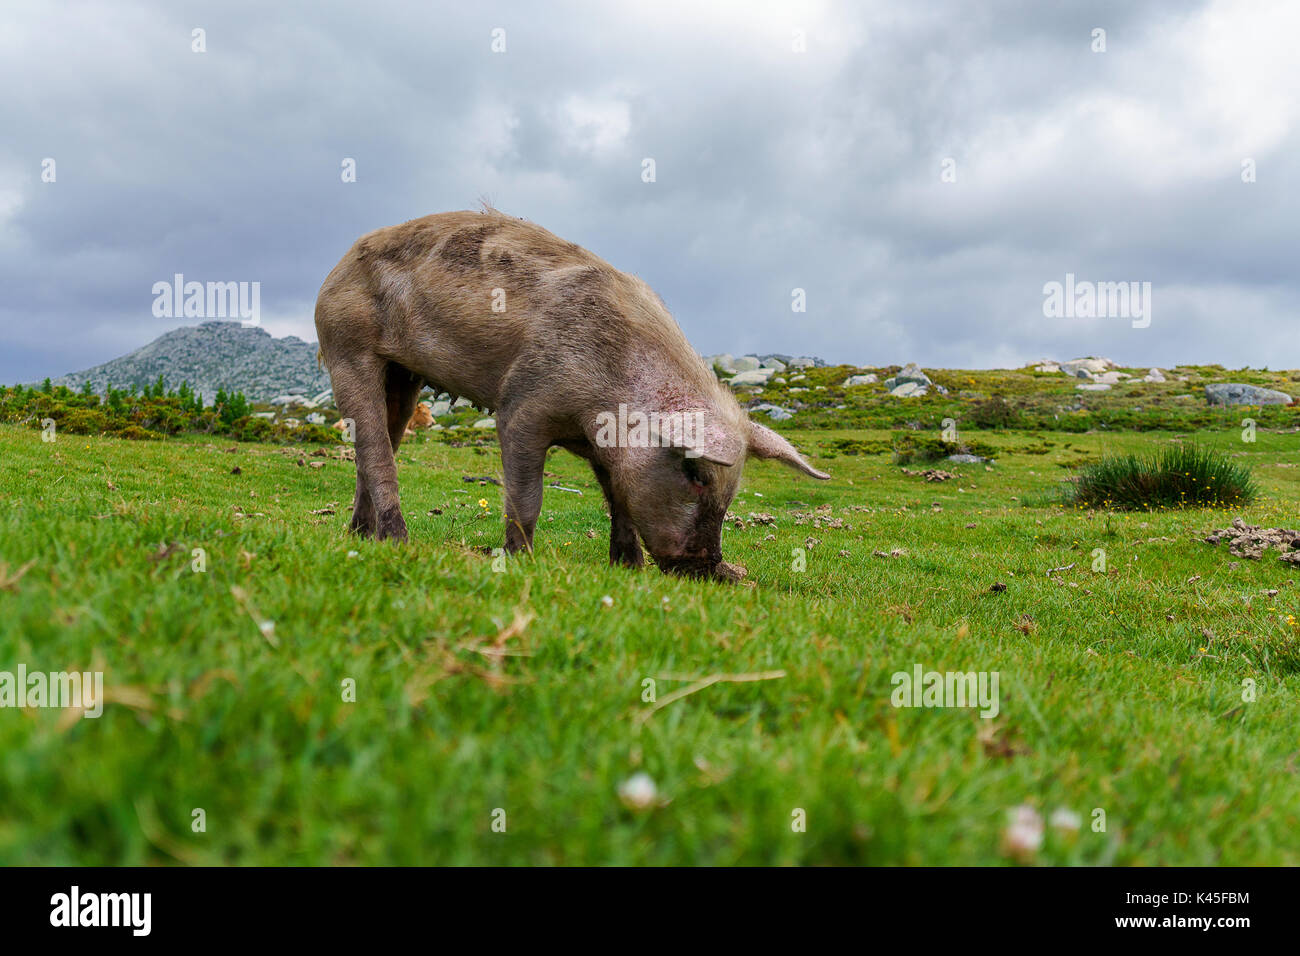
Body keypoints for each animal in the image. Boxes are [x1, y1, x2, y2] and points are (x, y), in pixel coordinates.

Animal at [312, 209, 821, 580]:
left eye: (731, 493)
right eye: (695, 473)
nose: (717, 570)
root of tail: (338, 265)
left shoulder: (609, 452)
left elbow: (620, 500)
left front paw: (629, 568)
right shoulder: (523, 406)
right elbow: (528, 492)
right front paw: (521, 558)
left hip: (404, 375)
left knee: (374, 446)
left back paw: (359, 537)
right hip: (346, 344)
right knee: (376, 450)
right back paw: (397, 541)